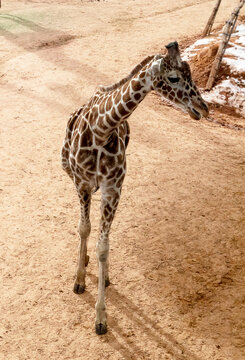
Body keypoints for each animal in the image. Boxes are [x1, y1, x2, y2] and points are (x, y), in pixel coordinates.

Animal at [61, 41, 209, 334]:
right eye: (173, 78)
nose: (203, 108)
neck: (101, 129)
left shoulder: (113, 188)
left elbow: (103, 246)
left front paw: (101, 316)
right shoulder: (82, 182)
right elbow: (83, 228)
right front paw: (79, 280)